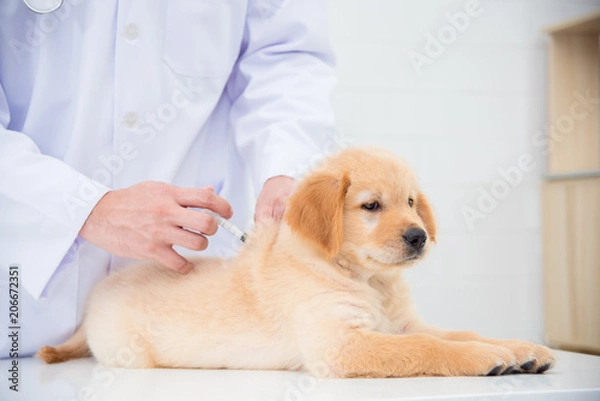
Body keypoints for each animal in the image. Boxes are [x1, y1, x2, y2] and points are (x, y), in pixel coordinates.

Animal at [37, 146, 556, 376]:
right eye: (371, 206)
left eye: (411, 202)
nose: (419, 236)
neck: (370, 281)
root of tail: (95, 299)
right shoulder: (341, 345)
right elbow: (430, 348)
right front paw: (487, 357)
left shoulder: (403, 324)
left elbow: (458, 332)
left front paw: (519, 347)